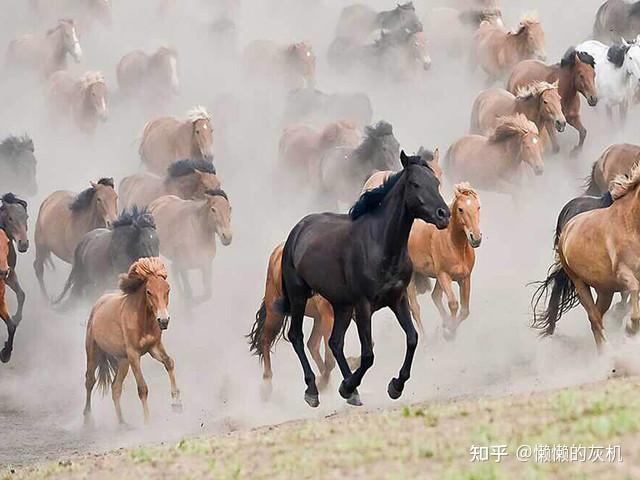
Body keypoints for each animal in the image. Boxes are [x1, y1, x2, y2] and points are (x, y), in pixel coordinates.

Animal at [83, 257, 181, 425]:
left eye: (168, 289)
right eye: (148, 291)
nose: (164, 321)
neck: (142, 320)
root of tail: (97, 305)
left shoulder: (154, 347)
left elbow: (169, 362)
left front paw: (176, 403)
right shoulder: (134, 354)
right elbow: (142, 388)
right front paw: (147, 421)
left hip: (123, 360)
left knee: (115, 387)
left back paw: (122, 423)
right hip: (94, 352)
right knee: (90, 381)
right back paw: (88, 420)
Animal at [248, 242, 336, 398]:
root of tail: (277, 251)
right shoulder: (328, 315)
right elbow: (331, 357)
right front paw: (321, 384)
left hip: (317, 317)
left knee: (312, 344)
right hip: (274, 312)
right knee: (265, 339)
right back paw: (267, 385)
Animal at [278, 151, 450, 408]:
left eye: (436, 182)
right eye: (415, 184)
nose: (444, 214)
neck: (380, 244)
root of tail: (298, 230)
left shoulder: (398, 299)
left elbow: (412, 338)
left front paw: (395, 386)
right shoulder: (363, 305)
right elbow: (368, 355)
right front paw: (348, 387)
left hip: (341, 305)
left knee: (335, 342)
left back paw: (352, 391)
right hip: (299, 294)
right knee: (297, 336)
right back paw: (313, 390)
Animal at [407, 183, 482, 340]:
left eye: (478, 207)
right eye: (460, 209)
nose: (476, 238)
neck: (455, 245)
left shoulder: (465, 277)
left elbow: (465, 310)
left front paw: (447, 327)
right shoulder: (444, 275)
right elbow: (453, 304)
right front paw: (450, 332)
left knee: (435, 296)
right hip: (413, 277)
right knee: (415, 308)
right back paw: (425, 341)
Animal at [531, 164, 640, 351]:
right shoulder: (623, 271)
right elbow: (633, 290)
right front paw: (631, 327)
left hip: (605, 289)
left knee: (598, 315)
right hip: (579, 283)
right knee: (594, 318)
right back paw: (606, 353)